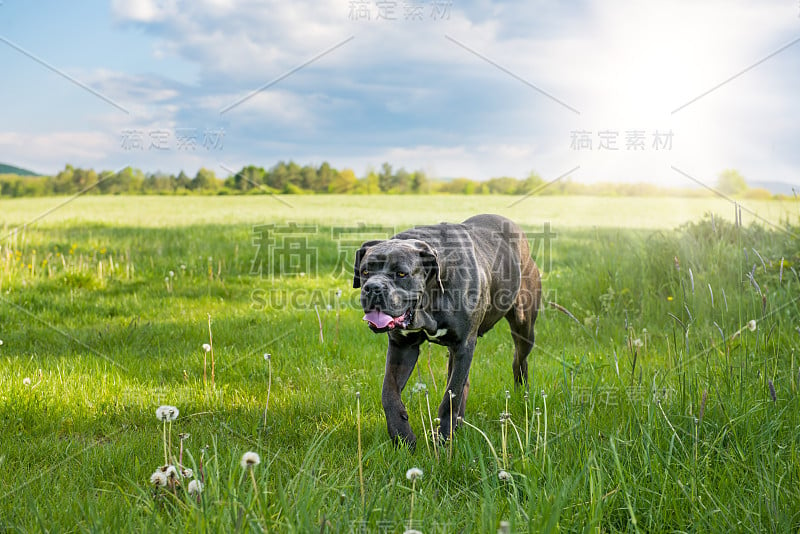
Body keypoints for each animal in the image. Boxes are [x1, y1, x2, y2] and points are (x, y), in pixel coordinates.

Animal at [354, 214, 540, 448]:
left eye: (401, 273)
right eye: (365, 271)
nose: (373, 287)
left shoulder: (463, 345)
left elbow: (451, 395)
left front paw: (442, 438)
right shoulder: (402, 347)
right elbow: (388, 392)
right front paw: (402, 436)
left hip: (524, 325)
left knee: (518, 359)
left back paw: (520, 392)